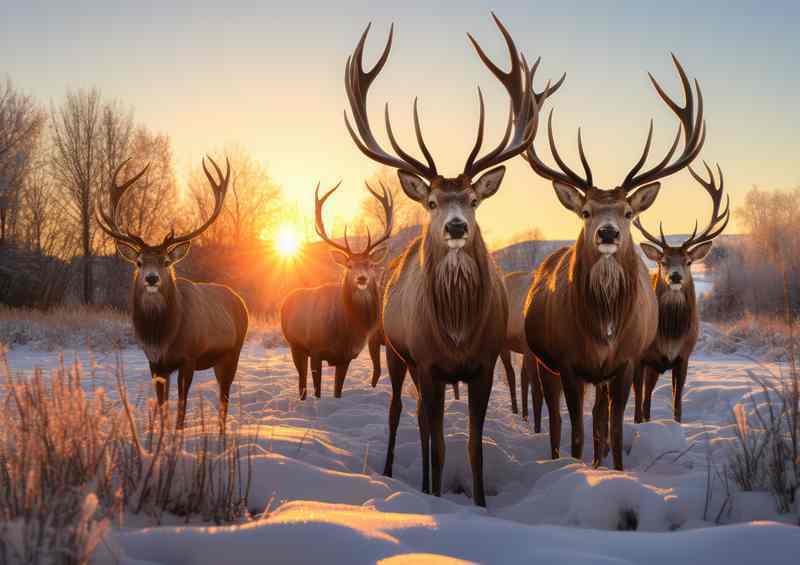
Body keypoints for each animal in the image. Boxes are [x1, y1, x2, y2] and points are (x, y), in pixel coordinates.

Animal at [96, 156, 247, 430]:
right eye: (139, 262)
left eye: (166, 261)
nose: (151, 278)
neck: (162, 335)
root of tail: (240, 300)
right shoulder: (155, 362)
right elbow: (162, 406)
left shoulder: (189, 357)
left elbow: (181, 409)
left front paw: (177, 435)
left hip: (233, 352)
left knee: (224, 398)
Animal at [282, 180, 394, 396]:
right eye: (349, 265)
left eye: (370, 264)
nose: (361, 278)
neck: (344, 329)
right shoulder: (316, 349)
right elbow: (318, 390)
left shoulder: (346, 357)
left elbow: (337, 391)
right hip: (294, 345)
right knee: (302, 383)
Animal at [344, 14, 564, 506]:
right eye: (430, 202)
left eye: (473, 200)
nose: (457, 226)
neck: (458, 332)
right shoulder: (428, 363)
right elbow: (441, 444)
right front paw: (438, 496)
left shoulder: (482, 364)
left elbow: (473, 447)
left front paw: (479, 503)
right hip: (396, 353)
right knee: (401, 413)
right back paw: (395, 471)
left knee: (422, 423)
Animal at [524, 54, 708, 468]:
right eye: (586, 211)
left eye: (627, 211)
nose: (607, 233)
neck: (603, 329)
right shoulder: (569, 362)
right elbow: (577, 432)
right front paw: (577, 468)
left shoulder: (626, 362)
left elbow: (616, 427)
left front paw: (617, 469)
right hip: (543, 363)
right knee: (557, 419)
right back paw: (557, 456)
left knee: (601, 419)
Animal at [636, 161, 728, 420]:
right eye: (663, 261)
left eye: (688, 260)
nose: (675, 276)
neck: (669, 337)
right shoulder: (641, 359)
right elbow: (640, 407)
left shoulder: (683, 358)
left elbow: (677, 407)